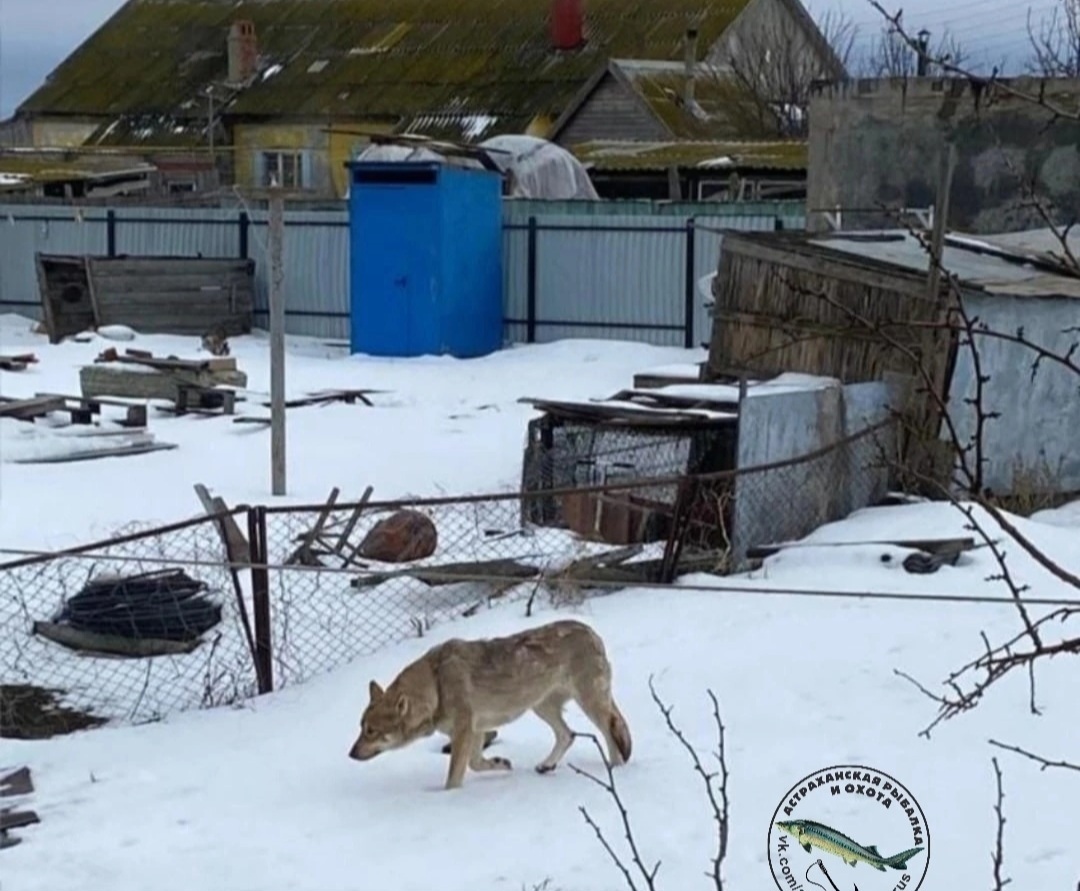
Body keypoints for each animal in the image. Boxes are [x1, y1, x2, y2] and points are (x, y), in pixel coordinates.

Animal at [345, 613, 630, 790]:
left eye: (371, 731)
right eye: (361, 728)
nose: (350, 754)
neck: (436, 685)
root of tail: (592, 633)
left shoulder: (464, 731)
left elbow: (454, 778)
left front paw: (449, 797)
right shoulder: (476, 730)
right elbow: (476, 763)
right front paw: (500, 764)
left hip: (588, 703)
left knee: (609, 732)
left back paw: (616, 770)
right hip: (540, 706)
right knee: (568, 735)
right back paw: (546, 765)